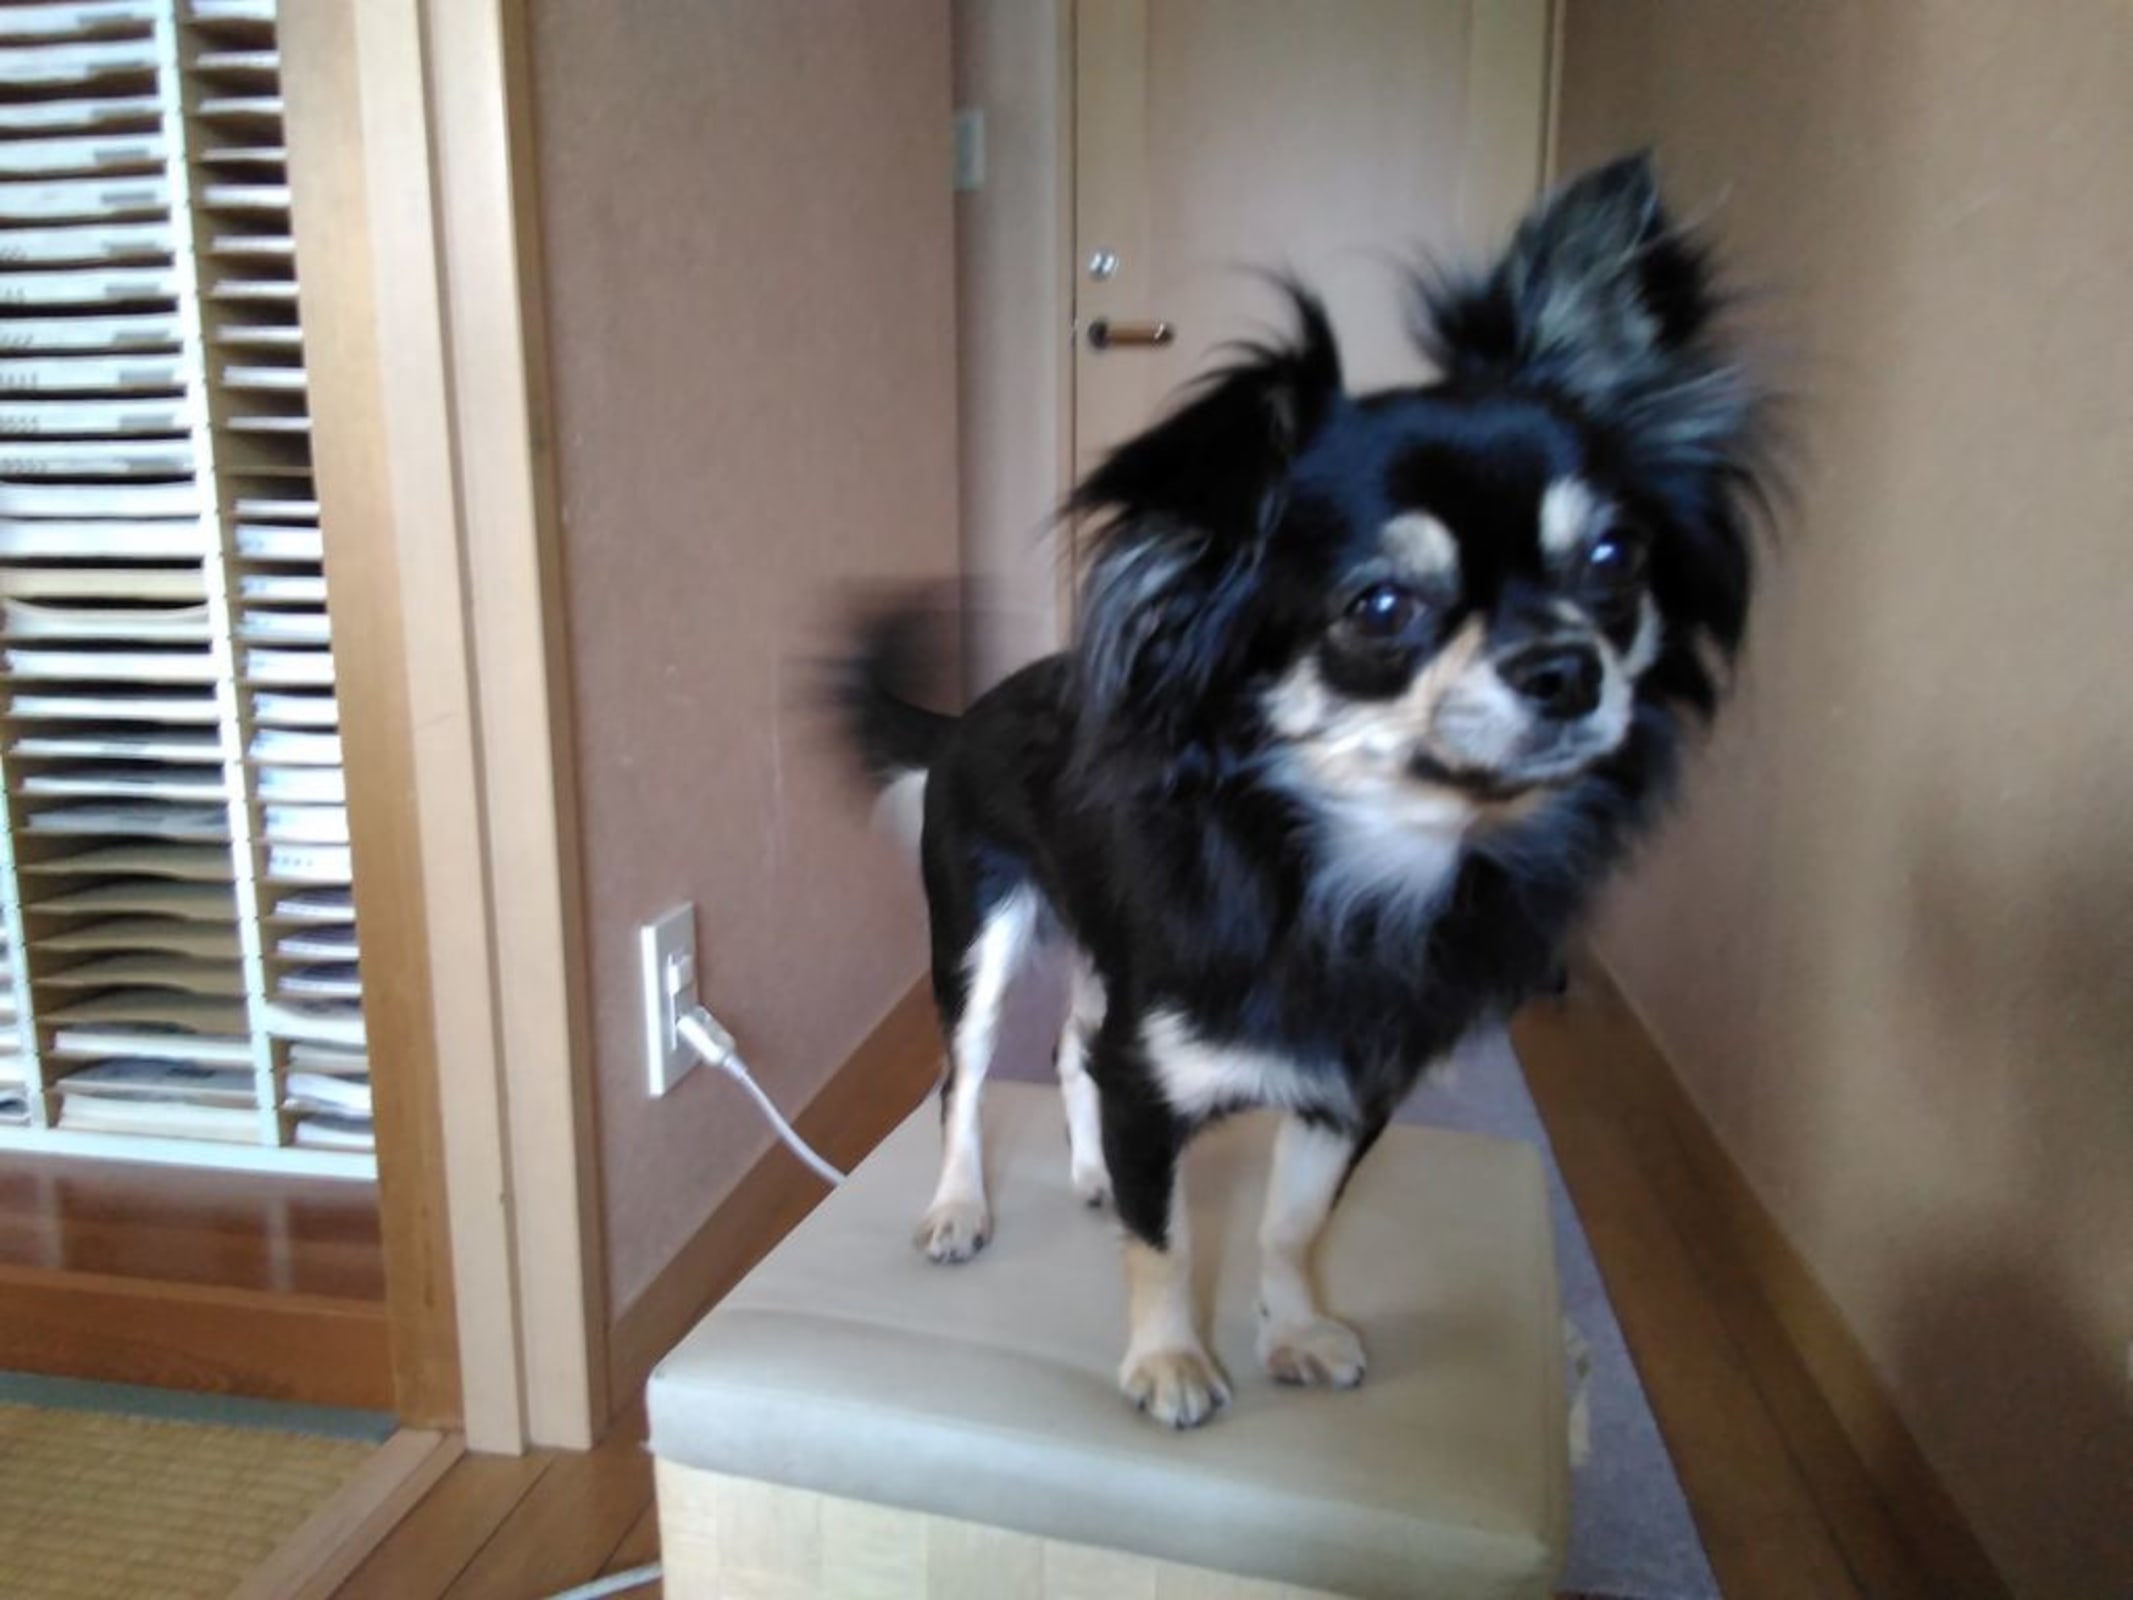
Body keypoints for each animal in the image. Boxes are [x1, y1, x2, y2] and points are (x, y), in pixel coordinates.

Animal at [836, 153, 1772, 1428]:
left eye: (1613, 564)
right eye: (1379, 607)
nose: (1570, 667)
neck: (1345, 867)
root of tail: (972, 708)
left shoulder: (1345, 1090)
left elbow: (1291, 1222)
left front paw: (1292, 1327)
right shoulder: (1151, 1071)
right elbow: (1167, 1235)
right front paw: (1171, 1358)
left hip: (1096, 949)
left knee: (1072, 1048)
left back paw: (1084, 1171)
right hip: (978, 940)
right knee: (966, 1079)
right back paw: (958, 1208)